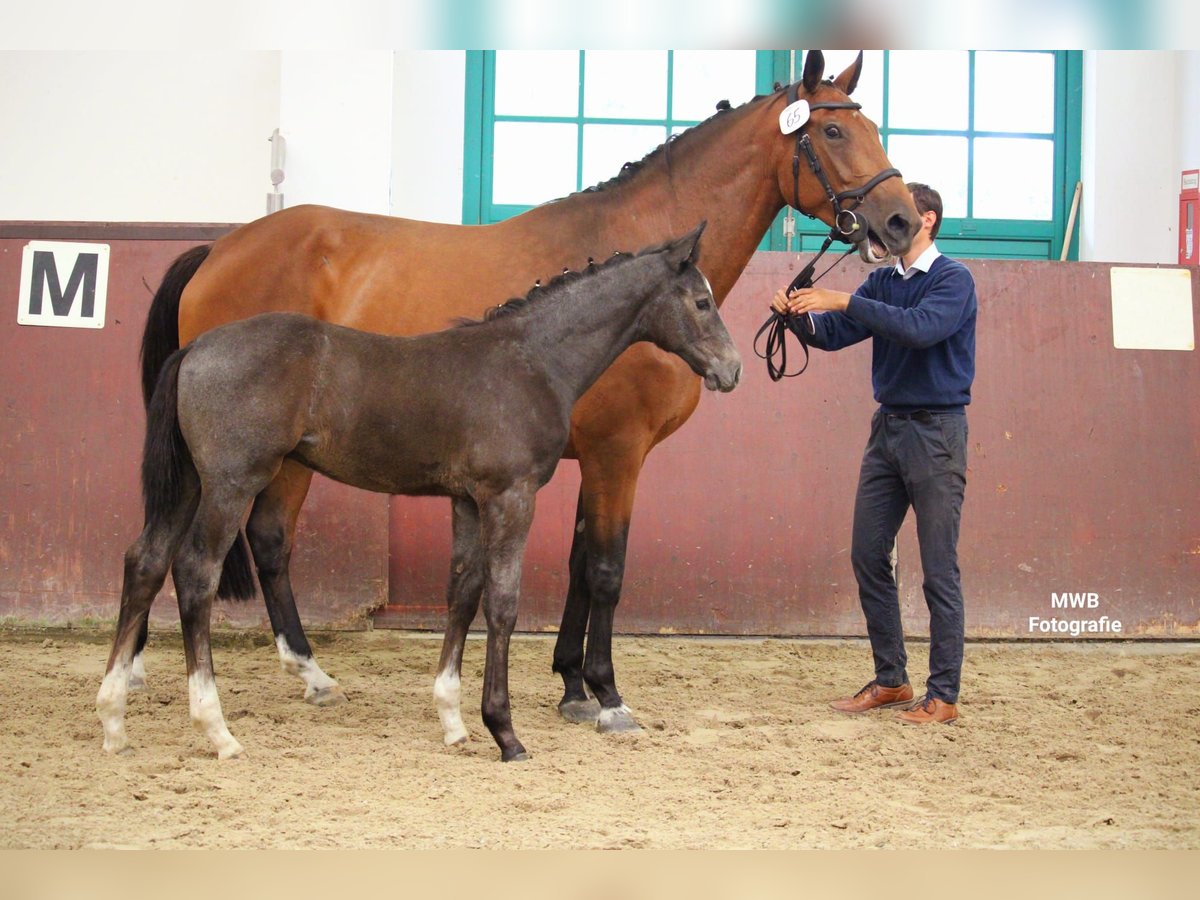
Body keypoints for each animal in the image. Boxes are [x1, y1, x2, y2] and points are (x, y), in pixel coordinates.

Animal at [98, 224, 739, 763]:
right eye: (701, 302)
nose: (731, 370)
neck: (531, 358)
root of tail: (194, 349)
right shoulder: (511, 496)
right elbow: (502, 603)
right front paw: (505, 731)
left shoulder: (468, 500)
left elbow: (462, 591)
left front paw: (454, 720)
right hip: (232, 483)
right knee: (195, 571)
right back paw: (217, 728)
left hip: (189, 483)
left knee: (145, 561)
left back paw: (113, 719)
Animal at [133, 49, 916, 734]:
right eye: (834, 131)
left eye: (874, 128)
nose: (904, 219)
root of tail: (220, 247)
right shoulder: (617, 453)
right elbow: (606, 569)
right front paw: (605, 693)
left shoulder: (586, 459)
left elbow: (577, 563)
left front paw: (571, 684)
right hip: (264, 459)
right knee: (259, 541)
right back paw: (291, 670)